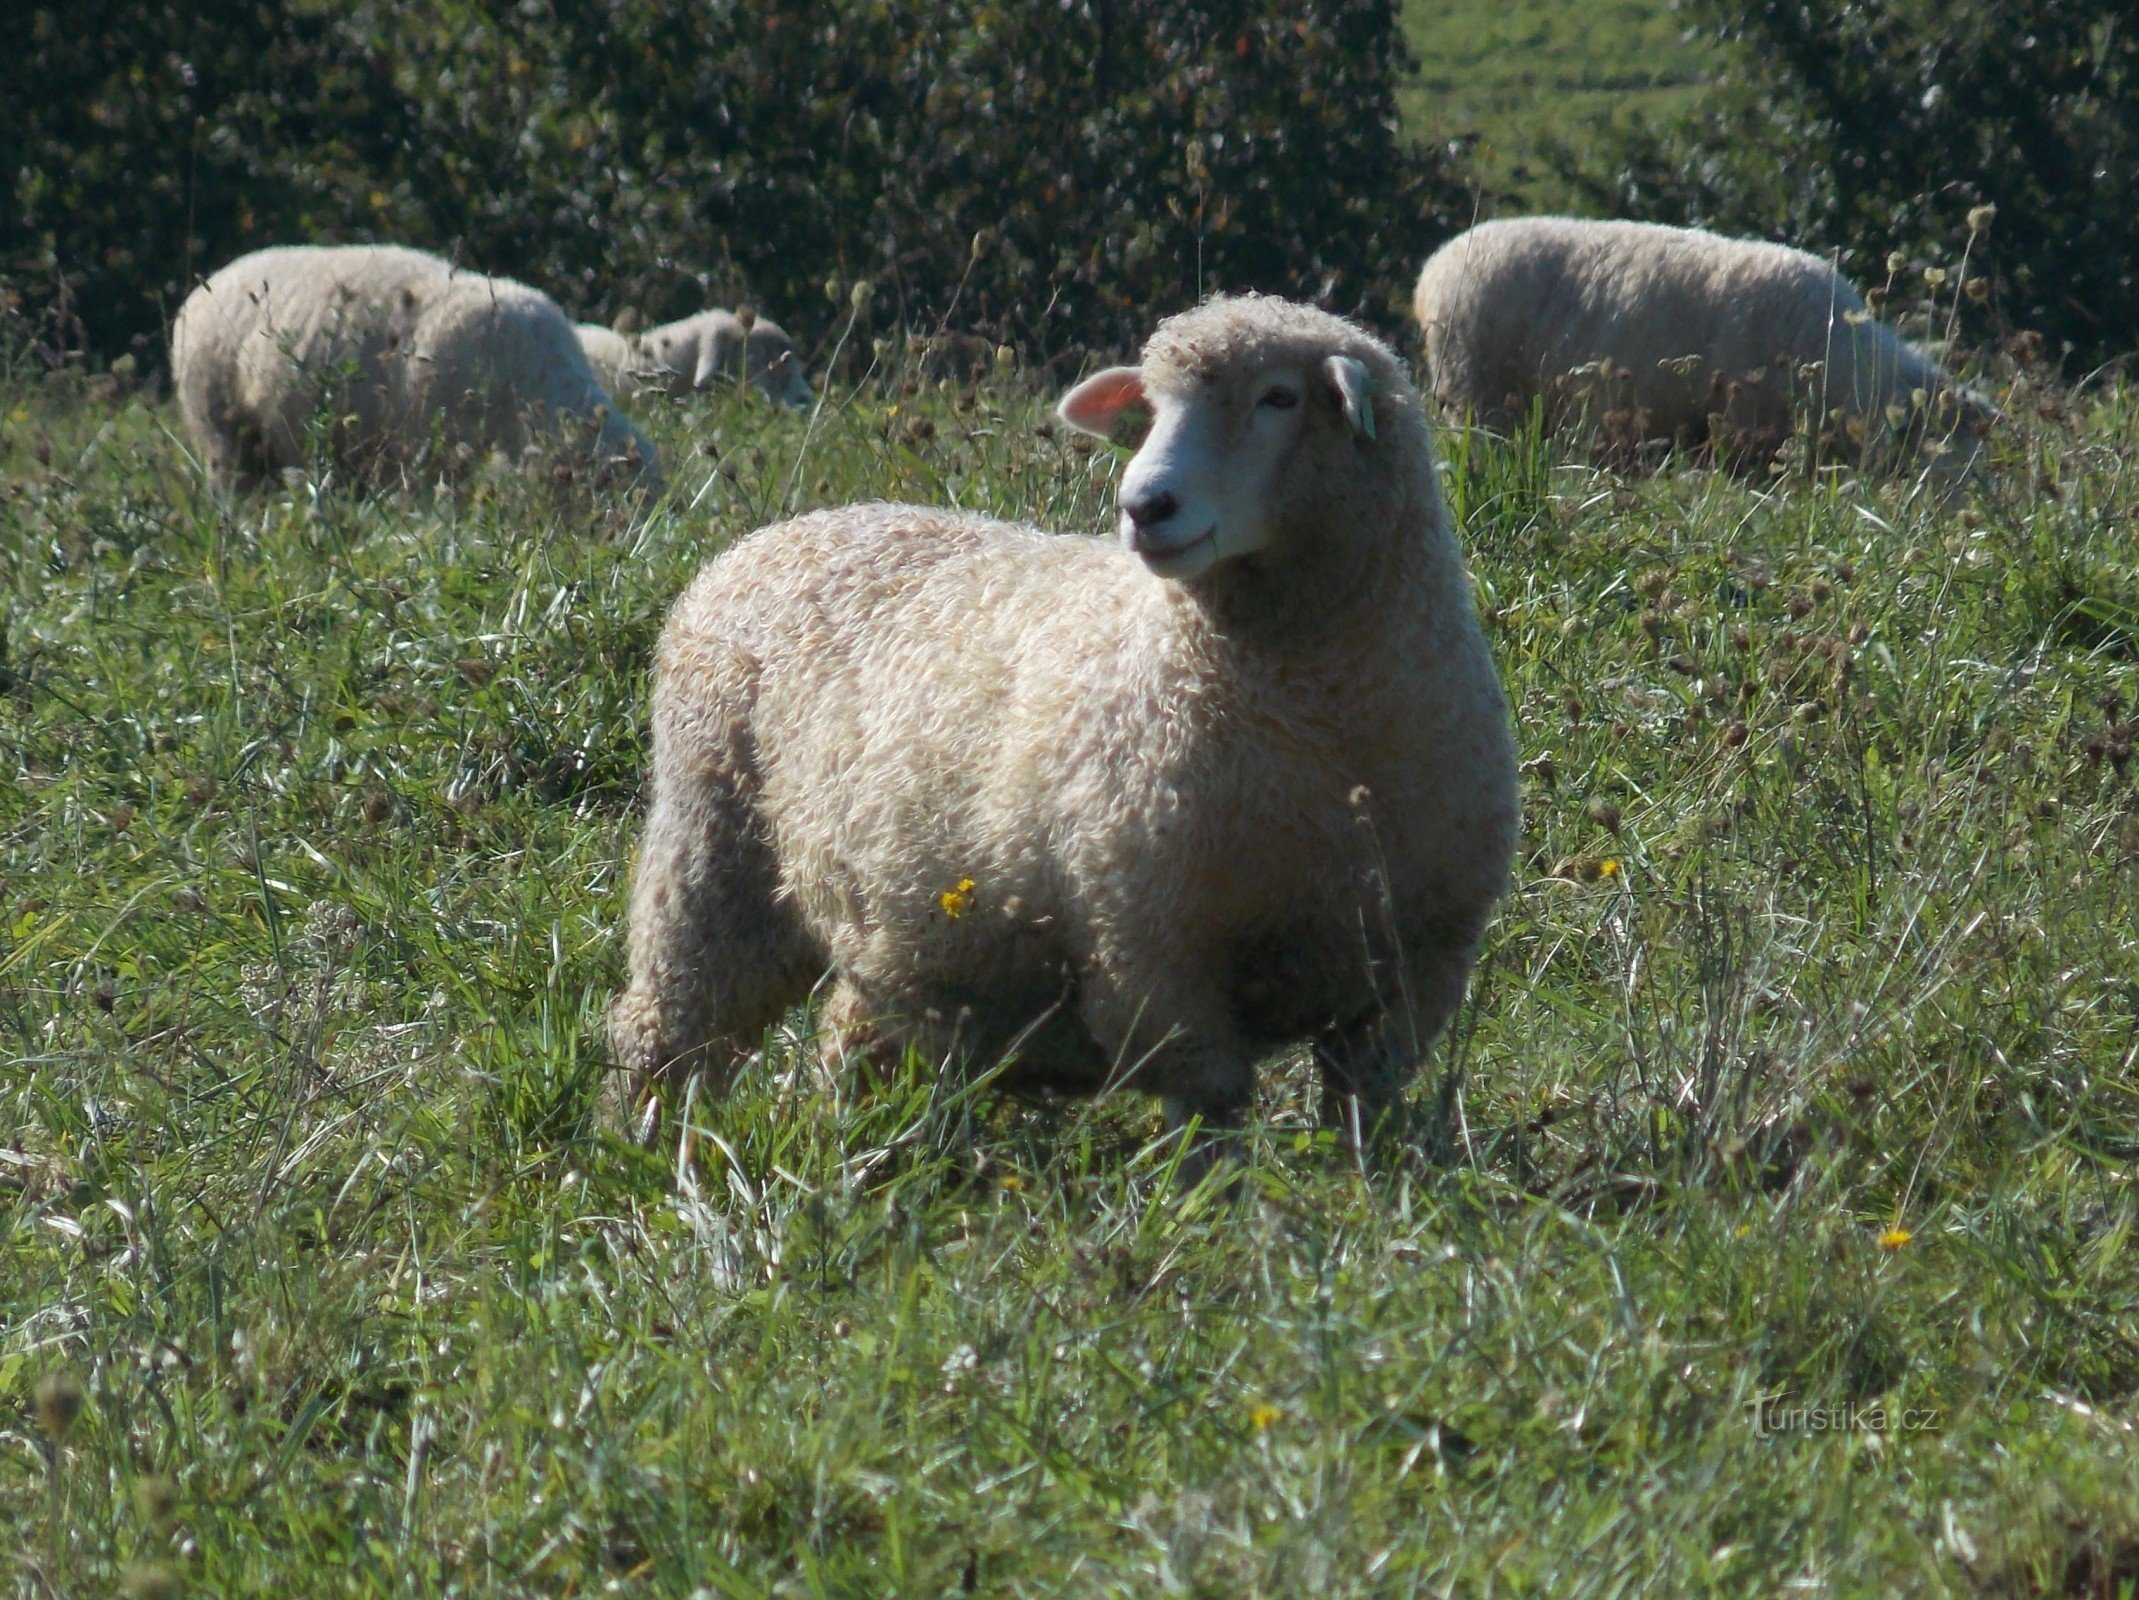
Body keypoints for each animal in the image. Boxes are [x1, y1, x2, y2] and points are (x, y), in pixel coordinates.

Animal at [607, 290, 1522, 1163]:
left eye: (1278, 398)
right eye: (1150, 406)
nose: (1144, 505)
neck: (1320, 724)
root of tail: (768, 538)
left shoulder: (1414, 975)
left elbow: (1356, 1117)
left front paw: (1359, 1198)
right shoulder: (1154, 953)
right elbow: (1206, 1117)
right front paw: (1214, 1206)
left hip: (898, 936)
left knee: (853, 1039)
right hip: (713, 856)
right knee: (666, 1028)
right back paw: (641, 1143)